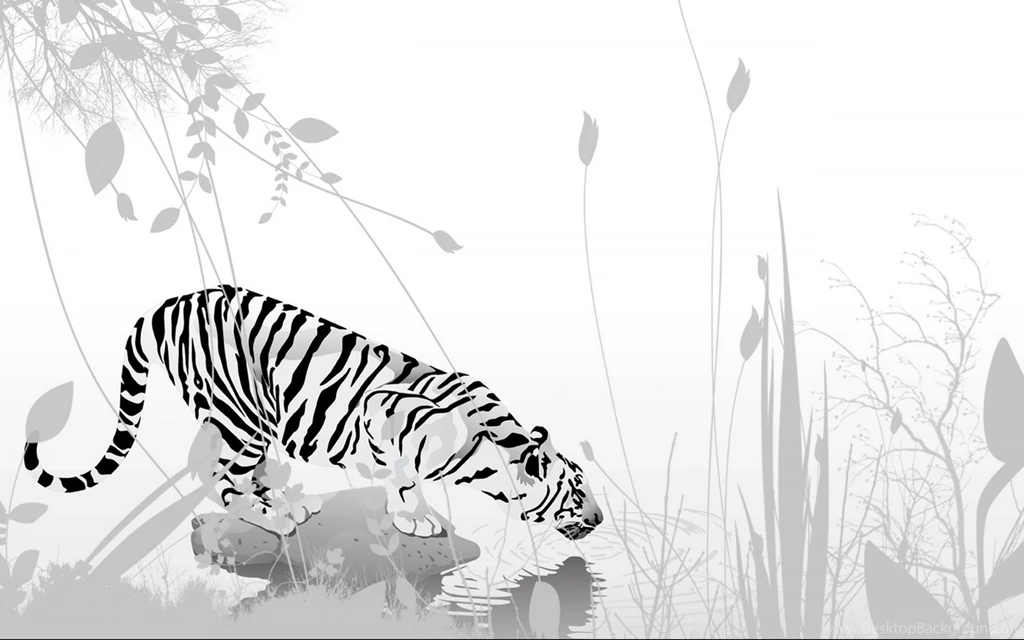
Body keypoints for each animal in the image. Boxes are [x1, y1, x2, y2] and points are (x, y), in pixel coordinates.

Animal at [23, 286, 603, 541]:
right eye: (576, 492)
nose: (600, 519)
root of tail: (170, 302)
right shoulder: (383, 412)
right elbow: (402, 476)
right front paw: (412, 516)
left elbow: (403, 477)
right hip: (239, 418)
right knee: (220, 479)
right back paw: (272, 517)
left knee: (245, 473)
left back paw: (288, 503)